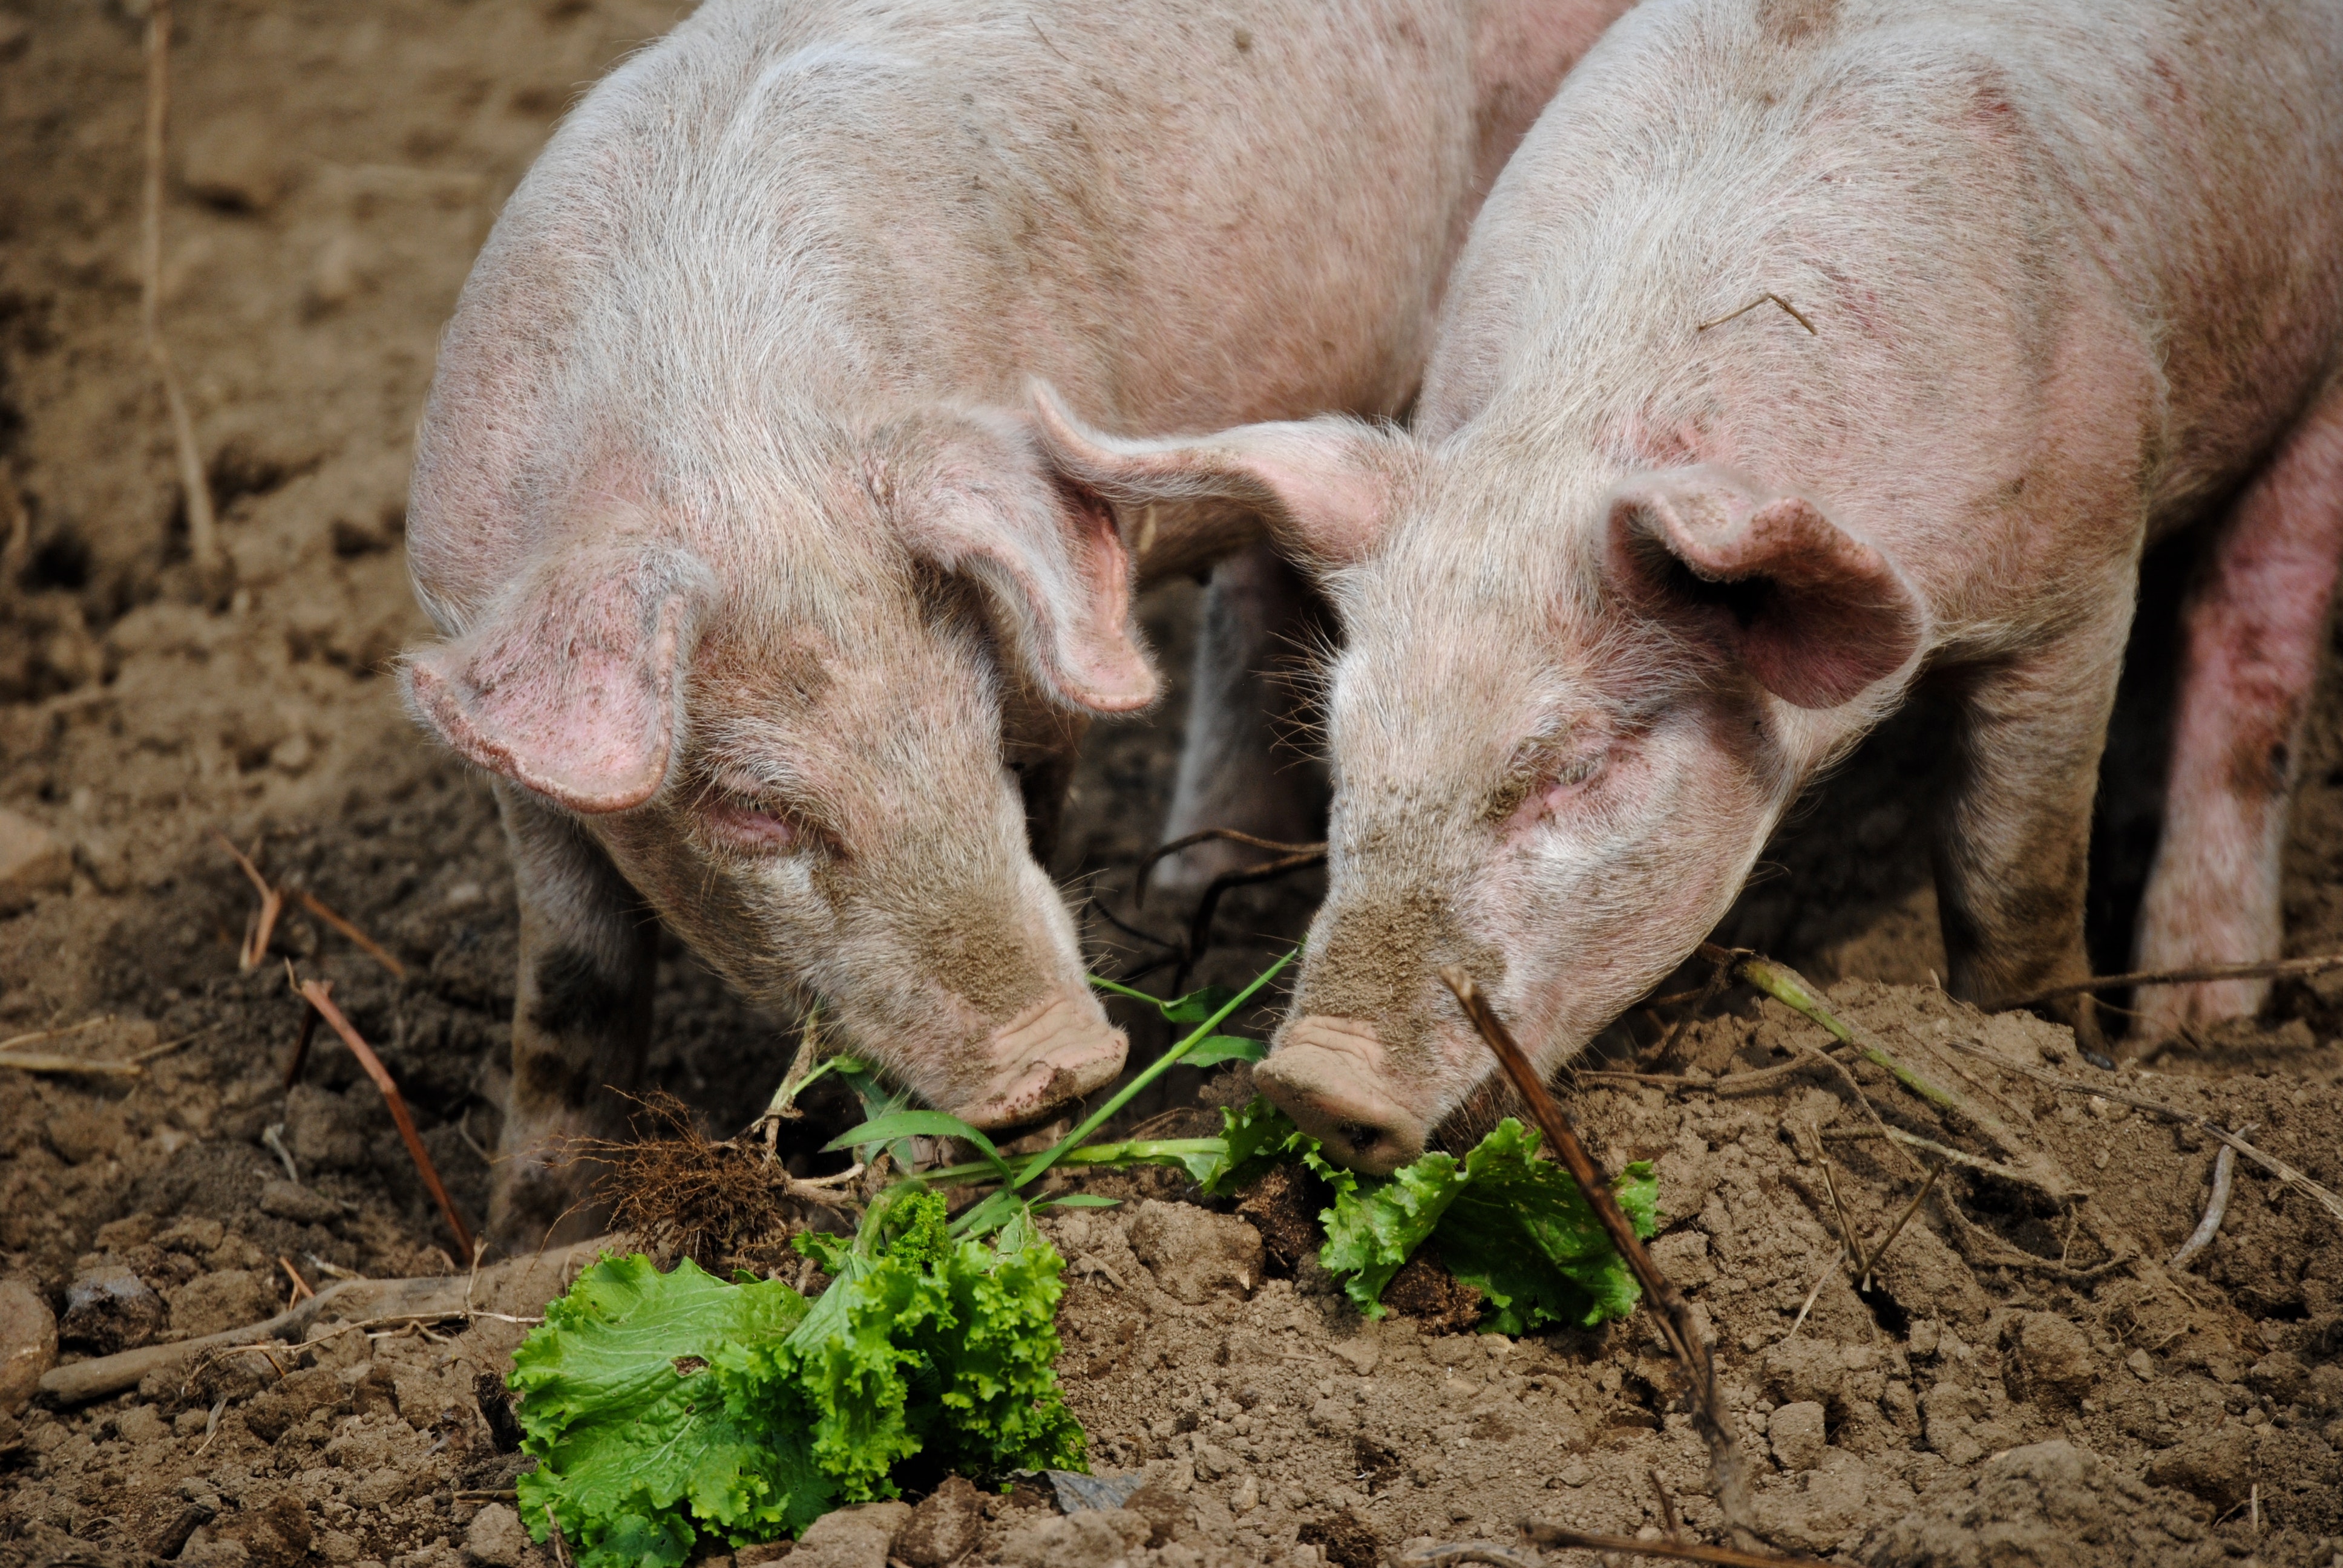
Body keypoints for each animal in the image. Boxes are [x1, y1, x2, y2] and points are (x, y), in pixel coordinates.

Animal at [398, 3, 1630, 1247]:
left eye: (981, 730)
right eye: (750, 809)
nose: (1066, 1058)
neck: (729, 439)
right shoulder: (512, 747)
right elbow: (571, 989)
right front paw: (531, 1240)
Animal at [1044, 0, 2343, 1167]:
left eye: (1578, 767)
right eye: (1342, 747)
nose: (1314, 1081)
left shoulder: (2081, 572)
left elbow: (2007, 869)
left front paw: (2044, 1041)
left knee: (2256, 635)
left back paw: (2201, 1019)